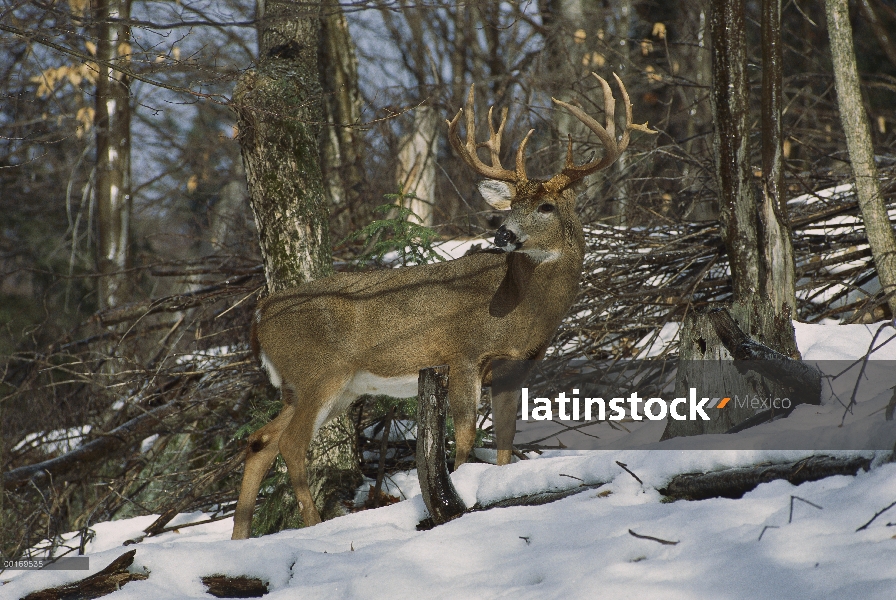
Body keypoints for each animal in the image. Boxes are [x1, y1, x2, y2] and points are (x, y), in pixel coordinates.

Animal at [231, 72, 652, 536]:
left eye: (545, 206)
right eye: (512, 205)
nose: (503, 233)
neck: (521, 307)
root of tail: (260, 312)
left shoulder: (515, 367)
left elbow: (505, 442)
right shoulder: (463, 353)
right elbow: (466, 436)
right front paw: (462, 494)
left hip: (317, 387)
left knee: (260, 441)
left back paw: (239, 538)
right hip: (317, 374)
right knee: (290, 444)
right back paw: (312, 524)